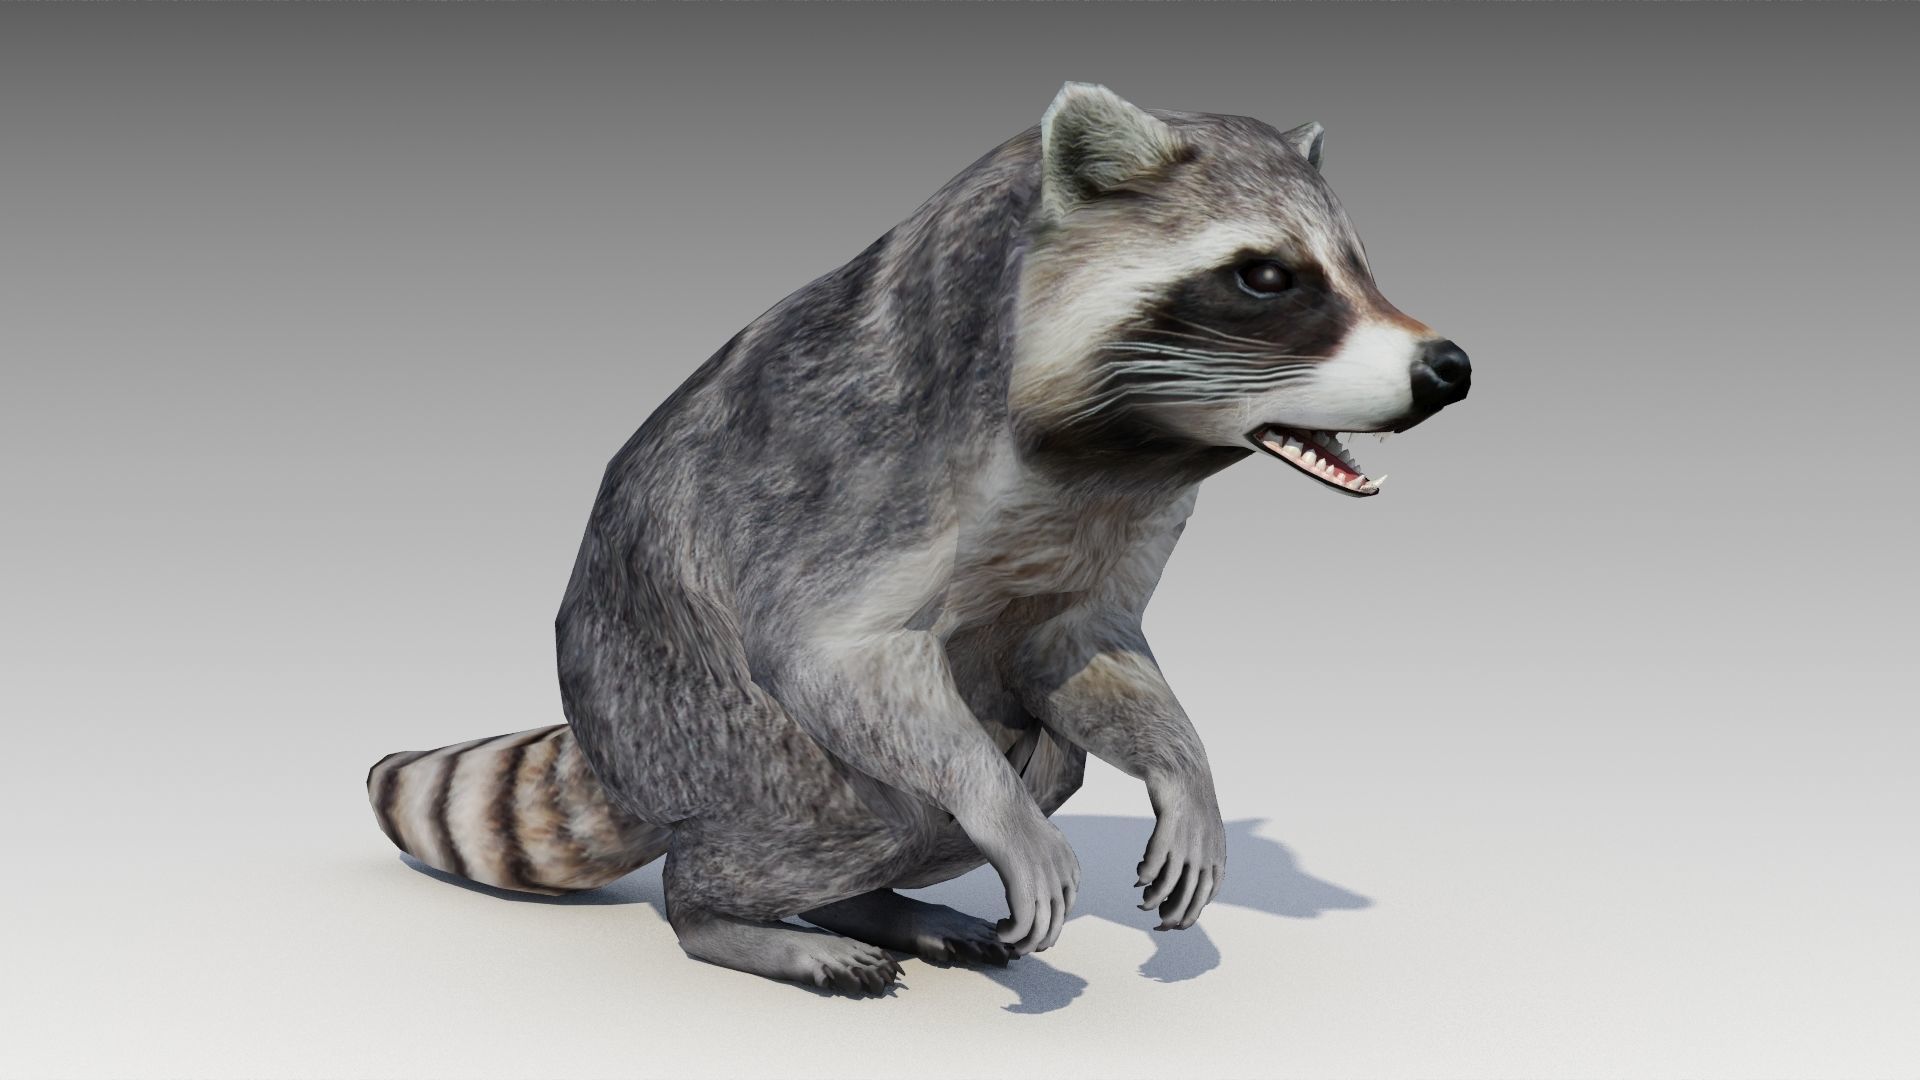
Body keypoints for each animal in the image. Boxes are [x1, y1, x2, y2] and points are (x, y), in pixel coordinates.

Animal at [368, 82, 1470, 995]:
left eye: (1360, 269)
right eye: (1267, 276)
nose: (1450, 368)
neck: (1120, 452)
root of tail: (606, 747)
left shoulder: (1119, 529)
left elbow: (1079, 646)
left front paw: (1185, 769)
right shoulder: (861, 467)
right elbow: (833, 654)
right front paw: (1003, 816)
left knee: (1044, 757)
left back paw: (876, 904)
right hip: (697, 733)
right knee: (854, 806)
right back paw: (727, 913)